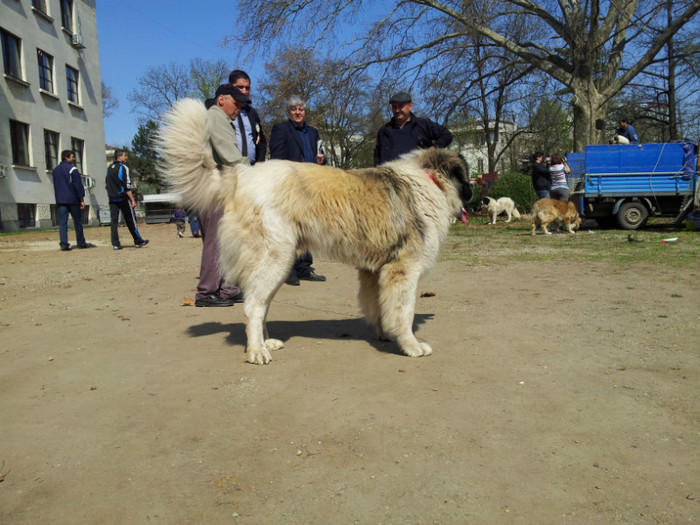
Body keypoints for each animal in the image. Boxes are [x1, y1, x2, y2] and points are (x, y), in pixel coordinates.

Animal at [160, 100, 470, 366]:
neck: (430, 181)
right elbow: (404, 311)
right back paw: (257, 351)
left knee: (260, 304)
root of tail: (242, 176)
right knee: (252, 307)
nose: (473, 194)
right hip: (275, 259)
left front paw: (384, 334)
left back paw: (265, 343)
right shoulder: (404, 269)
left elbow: (379, 306)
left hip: (278, 265)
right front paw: (410, 345)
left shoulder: (375, 270)